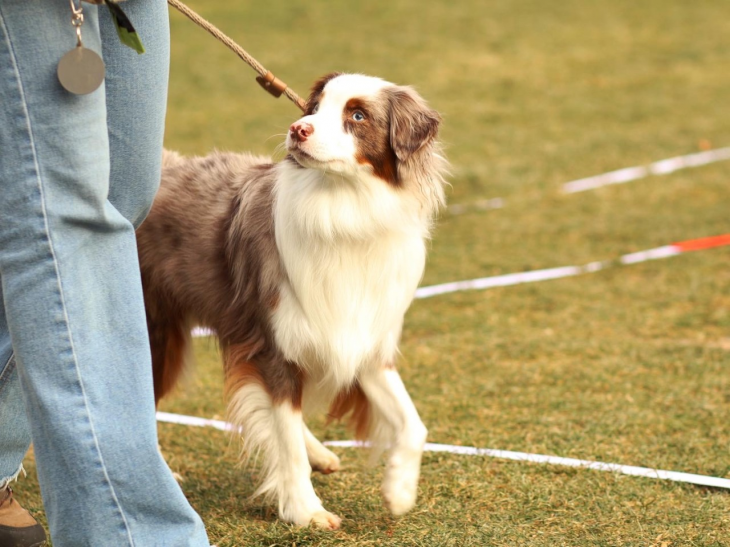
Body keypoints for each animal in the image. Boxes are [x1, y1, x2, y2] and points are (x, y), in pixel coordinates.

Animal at [136, 74, 444, 532]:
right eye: (314, 108)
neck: (343, 207)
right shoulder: (273, 346)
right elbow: (285, 438)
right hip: (153, 333)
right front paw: (305, 510)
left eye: (357, 115)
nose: (299, 129)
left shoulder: (363, 339)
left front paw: (399, 490)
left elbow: (413, 424)